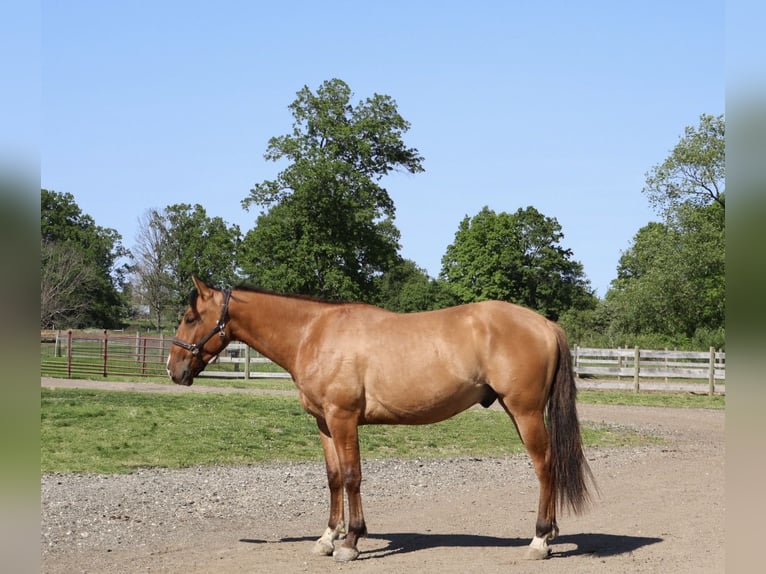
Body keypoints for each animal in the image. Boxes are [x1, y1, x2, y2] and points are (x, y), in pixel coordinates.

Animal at [167, 276, 594, 562]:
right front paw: (328, 537)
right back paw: (551, 535)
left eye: (189, 317)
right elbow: (334, 479)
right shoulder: (324, 424)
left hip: (524, 412)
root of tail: (545, 324)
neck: (312, 333)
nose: (173, 370)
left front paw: (351, 542)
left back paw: (540, 540)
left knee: (545, 466)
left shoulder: (343, 419)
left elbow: (352, 477)